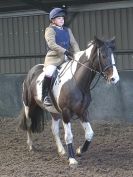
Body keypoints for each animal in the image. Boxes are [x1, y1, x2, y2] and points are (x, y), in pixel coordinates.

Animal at [18, 36, 119, 167]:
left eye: (113, 55)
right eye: (103, 55)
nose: (115, 79)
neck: (76, 82)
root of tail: (32, 71)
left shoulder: (82, 111)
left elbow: (89, 133)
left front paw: (80, 150)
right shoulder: (66, 112)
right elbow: (69, 136)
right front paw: (72, 159)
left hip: (54, 112)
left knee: (54, 130)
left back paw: (61, 151)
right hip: (29, 106)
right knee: (29, 123)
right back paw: (31, 146)